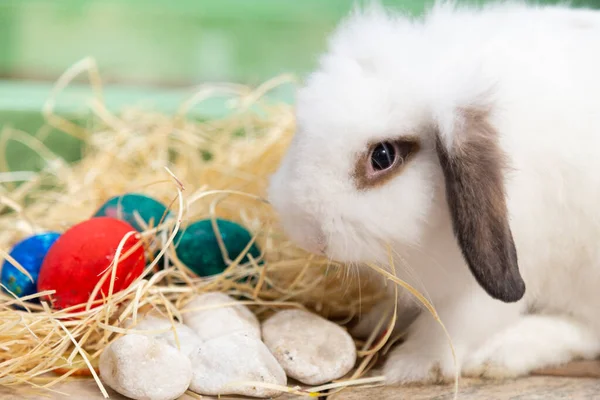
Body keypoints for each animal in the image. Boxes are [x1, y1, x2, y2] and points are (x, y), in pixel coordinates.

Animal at [268, 0, 600, 384]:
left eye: (383, 156)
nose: (309, 236)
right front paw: (381, 319)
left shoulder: (493, 282)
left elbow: (455, 325)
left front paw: (414, 365)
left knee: (584, 330)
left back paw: (502, 354)